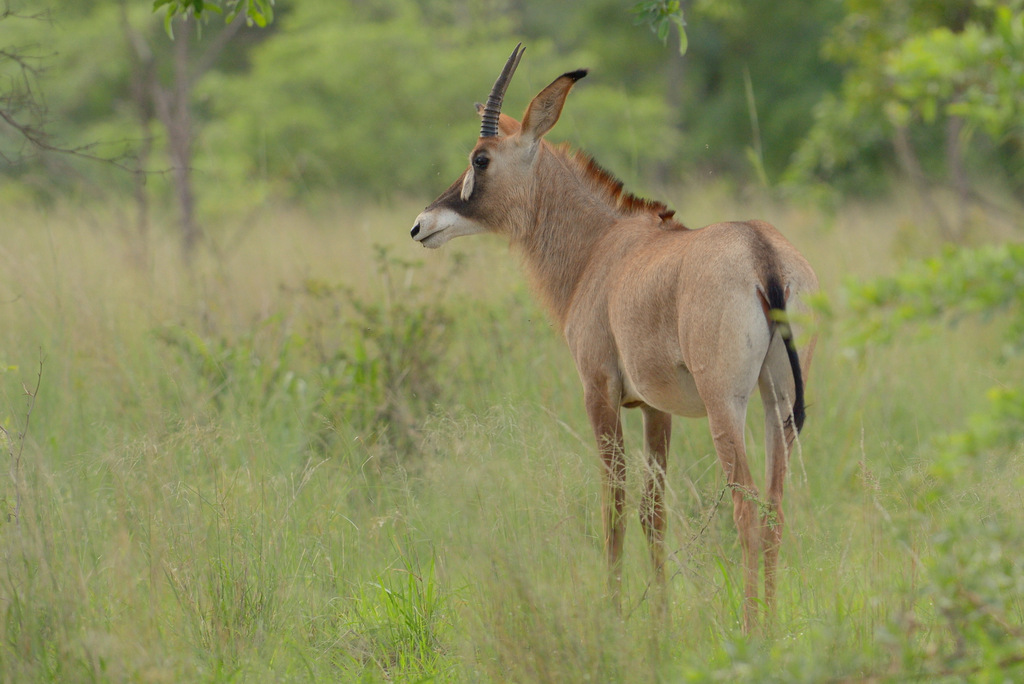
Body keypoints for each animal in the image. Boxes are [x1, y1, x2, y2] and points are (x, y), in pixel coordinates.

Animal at [407, 42, 815, 630]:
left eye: (480, 158)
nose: (420, 225)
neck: (599, 248)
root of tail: (762, 253)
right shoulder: (655, 409)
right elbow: (654, 512)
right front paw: (660, 620)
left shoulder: (599, 392)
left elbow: (614, 507)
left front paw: (615, 615)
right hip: (776, 403)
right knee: (776, 510)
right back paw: (773, 626)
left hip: (726, 405)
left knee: (747, 510)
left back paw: (750, 631)